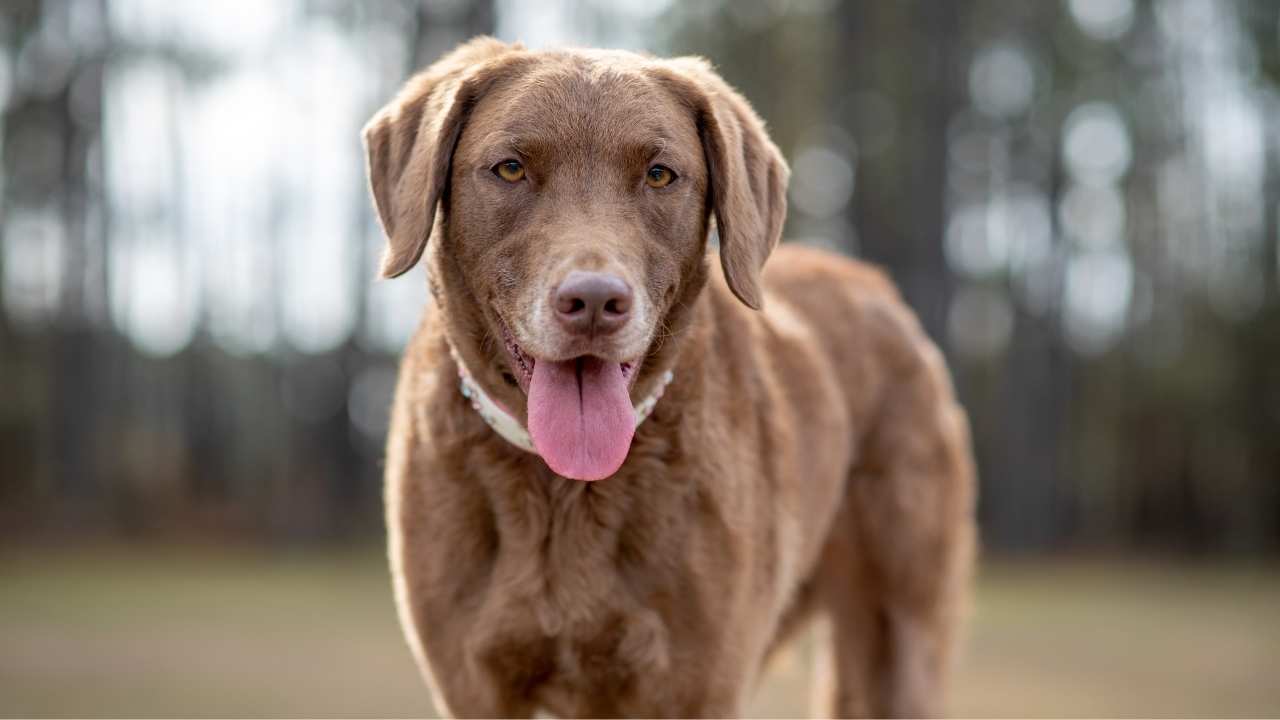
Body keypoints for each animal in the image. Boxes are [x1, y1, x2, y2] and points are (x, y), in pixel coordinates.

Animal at [366, 37, 972, 712]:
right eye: (510, 169)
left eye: (659, 175)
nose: (595, 301)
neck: (563, 491)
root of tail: (879, 288)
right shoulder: (473, 687)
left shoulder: (695, 683)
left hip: (901, 626)